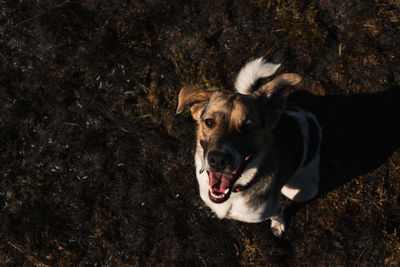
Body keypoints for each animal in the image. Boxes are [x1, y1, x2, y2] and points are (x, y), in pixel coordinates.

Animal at [177, 58, 320, 237]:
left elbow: (278, 213)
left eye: (248, 127)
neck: (235, 191)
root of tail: (308, 117)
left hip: (301, 191)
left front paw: (278, 225)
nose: (218, 160)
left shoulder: (271, 208)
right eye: (209, 122)